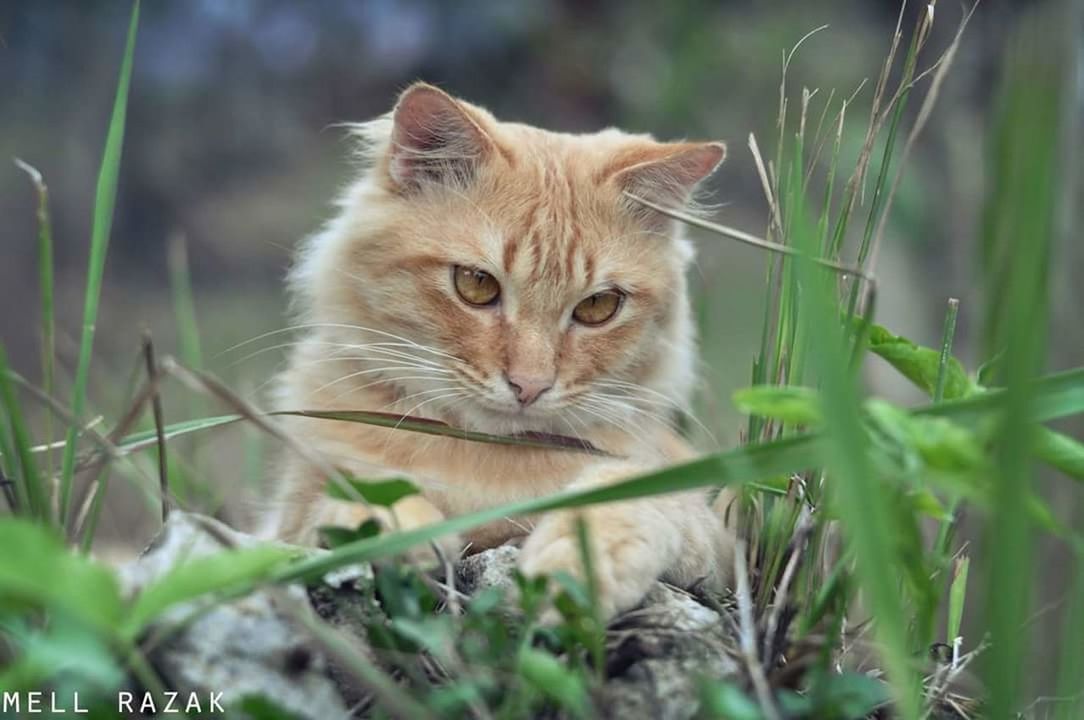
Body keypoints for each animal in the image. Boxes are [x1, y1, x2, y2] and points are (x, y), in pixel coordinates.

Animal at [265, 80, 737, 620]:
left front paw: (574, 566)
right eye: (475, 284)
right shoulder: (290, 507)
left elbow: (631, 496)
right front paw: (398, 527)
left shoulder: (714, 538)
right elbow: (339, 499)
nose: (529, 386)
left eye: (598, 306)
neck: (483, 457)